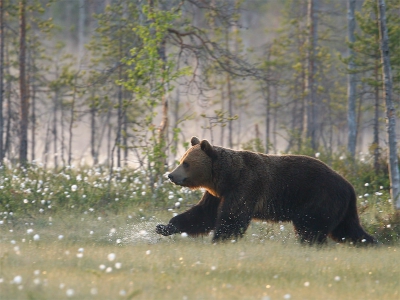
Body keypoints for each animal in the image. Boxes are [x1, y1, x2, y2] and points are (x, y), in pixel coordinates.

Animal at [155, 137, 376, 245]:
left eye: (186, 163)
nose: (171, 175)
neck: (226, 177)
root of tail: (349, 186)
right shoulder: (217, 193)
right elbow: (203, 214)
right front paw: (164, 227)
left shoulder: (246, 185)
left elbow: (232, 217)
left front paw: (219, 239)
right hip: (341, 207)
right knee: (347, 229)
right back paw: (370, 242)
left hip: (320, 197)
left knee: (310, 226)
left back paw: (311, 244)